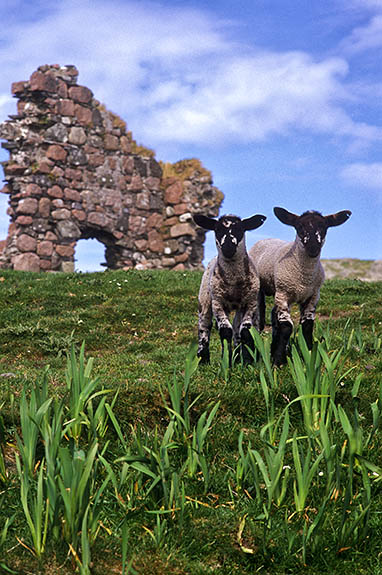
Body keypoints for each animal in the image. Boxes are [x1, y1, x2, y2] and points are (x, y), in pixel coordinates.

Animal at [194, 214, 266, 366]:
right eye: (217, 229)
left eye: (240, 229)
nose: (228, 247)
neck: (233, 283)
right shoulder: (218, 303)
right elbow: (225, 331)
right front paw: (226, 362)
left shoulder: (250, 303)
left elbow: (245, 331)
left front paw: (247, 361)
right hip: (205, 298)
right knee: (204, 326)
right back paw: (203, 358)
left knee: (238, 328)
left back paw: (238, 356)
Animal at [251, 209, 352, 366]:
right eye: (299, 227)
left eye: (324, 227)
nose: (313, 248)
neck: (304, 278)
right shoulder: (283, 294)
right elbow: (287, 327)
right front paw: (278, 361)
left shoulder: (313, 296)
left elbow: (307, 325)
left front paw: (310, 355)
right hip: (261, 289)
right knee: (260, 318)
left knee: (274, 316)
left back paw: (275, 347)